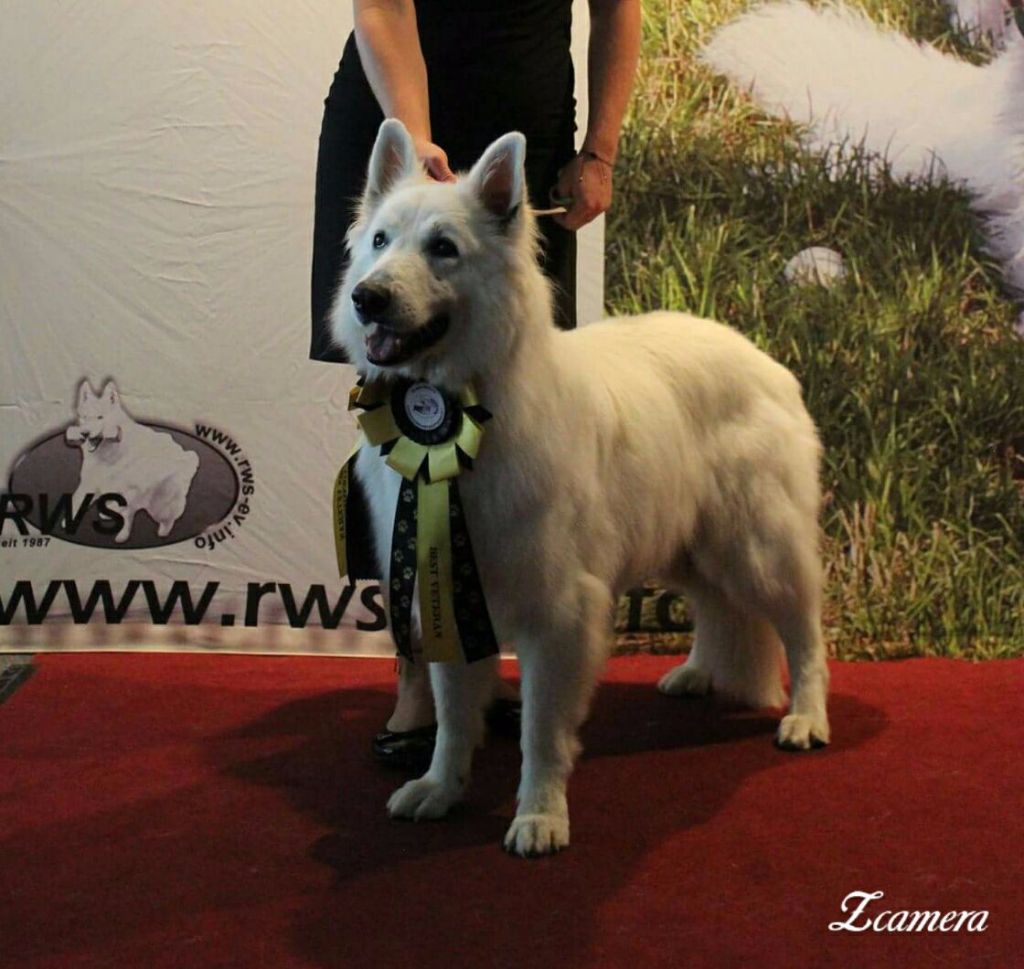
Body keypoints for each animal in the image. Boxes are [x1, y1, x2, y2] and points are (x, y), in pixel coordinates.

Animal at [331, 118, 827, 852]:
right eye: (380, 241)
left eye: (444, 249)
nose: (367, 297)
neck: (471, 404)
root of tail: (764, 359)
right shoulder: (449, 588)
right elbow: (452, 716)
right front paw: (440, 787)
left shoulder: (560, 613)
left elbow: (540, 729)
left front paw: (540, 814)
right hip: (689, 545)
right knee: (719, 608)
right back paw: (698, 672)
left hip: (758, 548)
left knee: (803, 629)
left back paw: (807, 716)